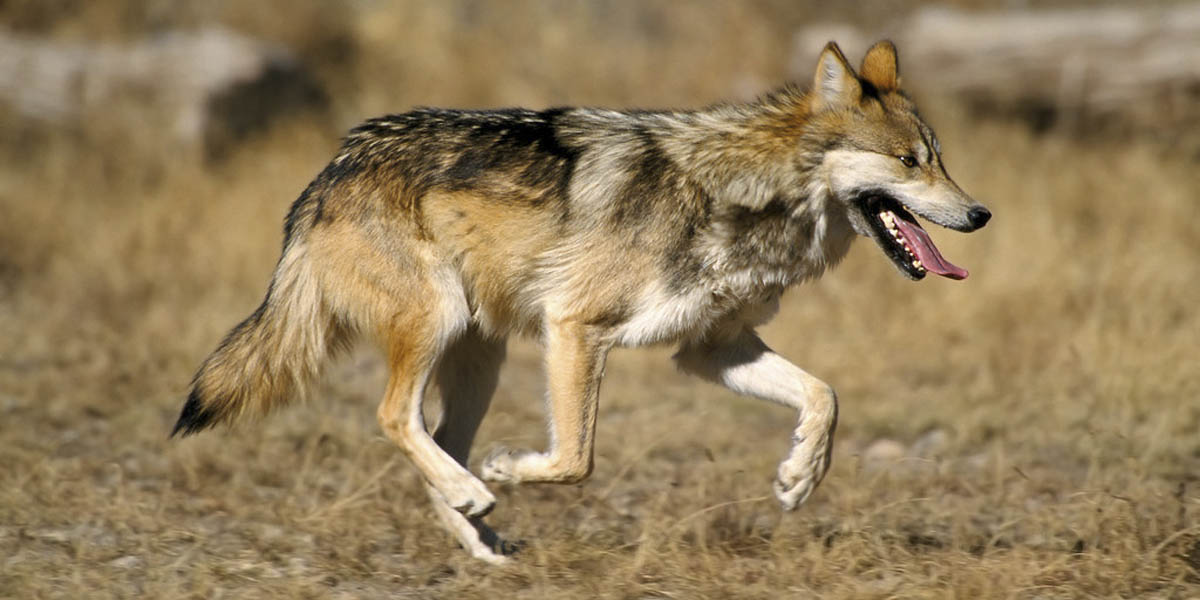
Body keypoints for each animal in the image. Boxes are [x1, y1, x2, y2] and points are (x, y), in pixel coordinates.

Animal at [172, 40, 990, 563]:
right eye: (909, 162)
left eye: (940, 160)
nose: (981, 214)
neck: (743, 195)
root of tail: (330, 171)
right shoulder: (576, 328)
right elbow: (575, 459)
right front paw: (510, 469)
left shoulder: (710, 349)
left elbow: (825, 396)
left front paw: (799, 478)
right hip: (440, 325)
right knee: (395, 418)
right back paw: (479, 491)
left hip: (481, 358)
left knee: (436, 439)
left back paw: (480, 536)